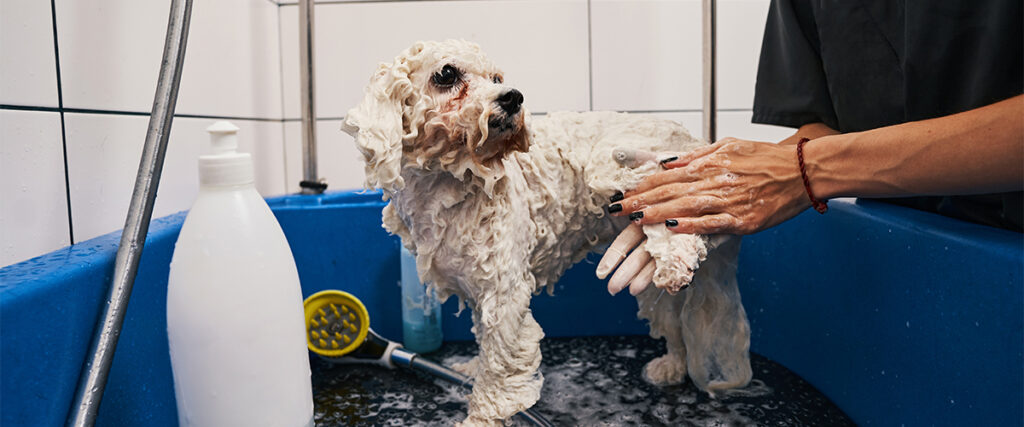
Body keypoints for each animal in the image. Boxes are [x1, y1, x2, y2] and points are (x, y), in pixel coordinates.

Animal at [344, 39, 753, 421]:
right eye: (446, 74)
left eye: (497, 78)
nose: (512, 97)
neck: (448, 188)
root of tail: (695, 137)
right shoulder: (478, 289)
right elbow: (485, 342)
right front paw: (473, 370)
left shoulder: (505, 295)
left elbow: (499, 367)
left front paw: (480, 417)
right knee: (670, 312)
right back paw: (672, 365)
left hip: (628, 166)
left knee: (671, 215)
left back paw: (675, 263)